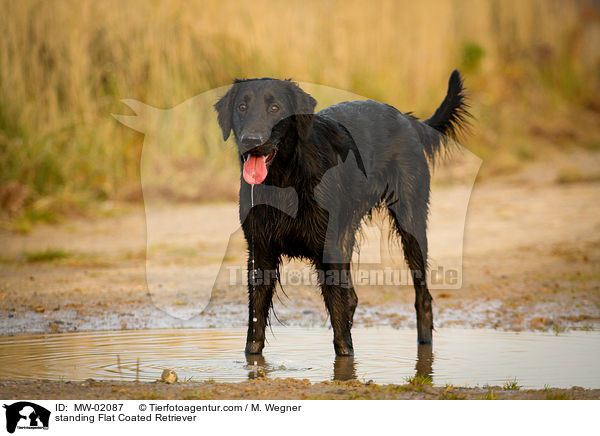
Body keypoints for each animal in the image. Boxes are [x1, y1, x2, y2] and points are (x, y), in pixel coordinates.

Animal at [213, 71, 472, 356]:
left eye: (275, 108)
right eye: (241, 107)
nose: (251, 141)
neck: (285, 181)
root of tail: (407, 119)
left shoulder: (328, 250)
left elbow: (341, 331)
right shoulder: (261, 253)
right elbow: (255, 326)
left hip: (410, 224)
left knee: (422, 297)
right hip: (347, 235)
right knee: (353, 297)